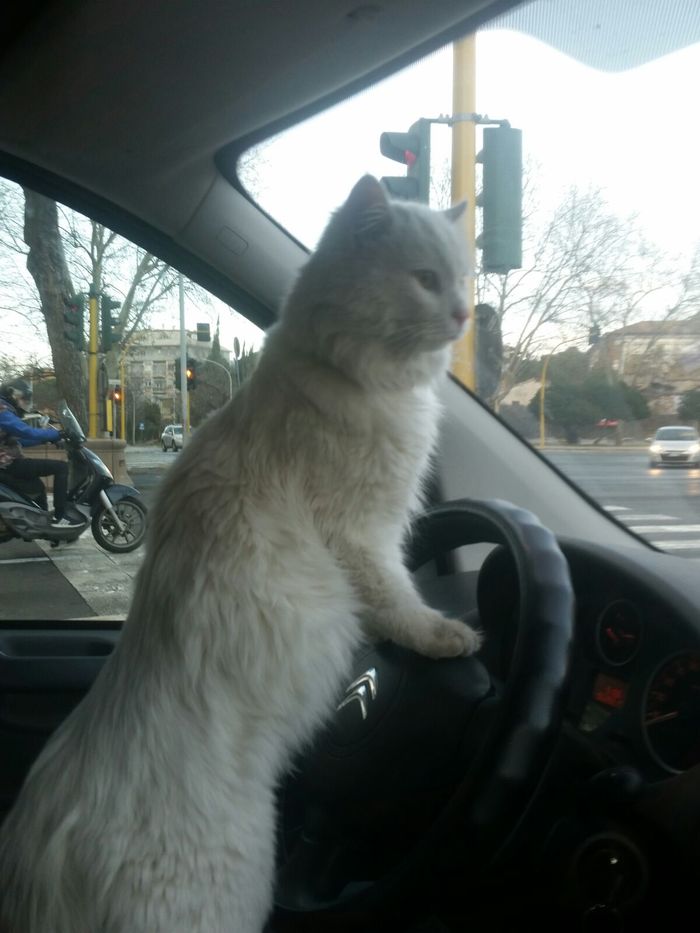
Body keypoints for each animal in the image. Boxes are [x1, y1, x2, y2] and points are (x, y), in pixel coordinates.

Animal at [0, 175, 482, 932]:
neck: (341, 368)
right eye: (426, 280)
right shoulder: (363, 537)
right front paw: (446, 636)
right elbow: (401, 603)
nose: (465, 315)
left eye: (462, 279)